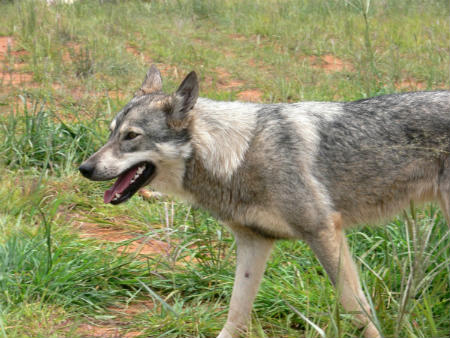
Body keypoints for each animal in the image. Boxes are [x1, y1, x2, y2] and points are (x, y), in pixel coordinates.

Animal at [79, 64, 448, 336]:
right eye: (110, 133)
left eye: (131, 136)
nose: (84, 168)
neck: (238, 156)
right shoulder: (254, 243)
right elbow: (236, 315)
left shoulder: (323, 232)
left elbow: (357, 309)